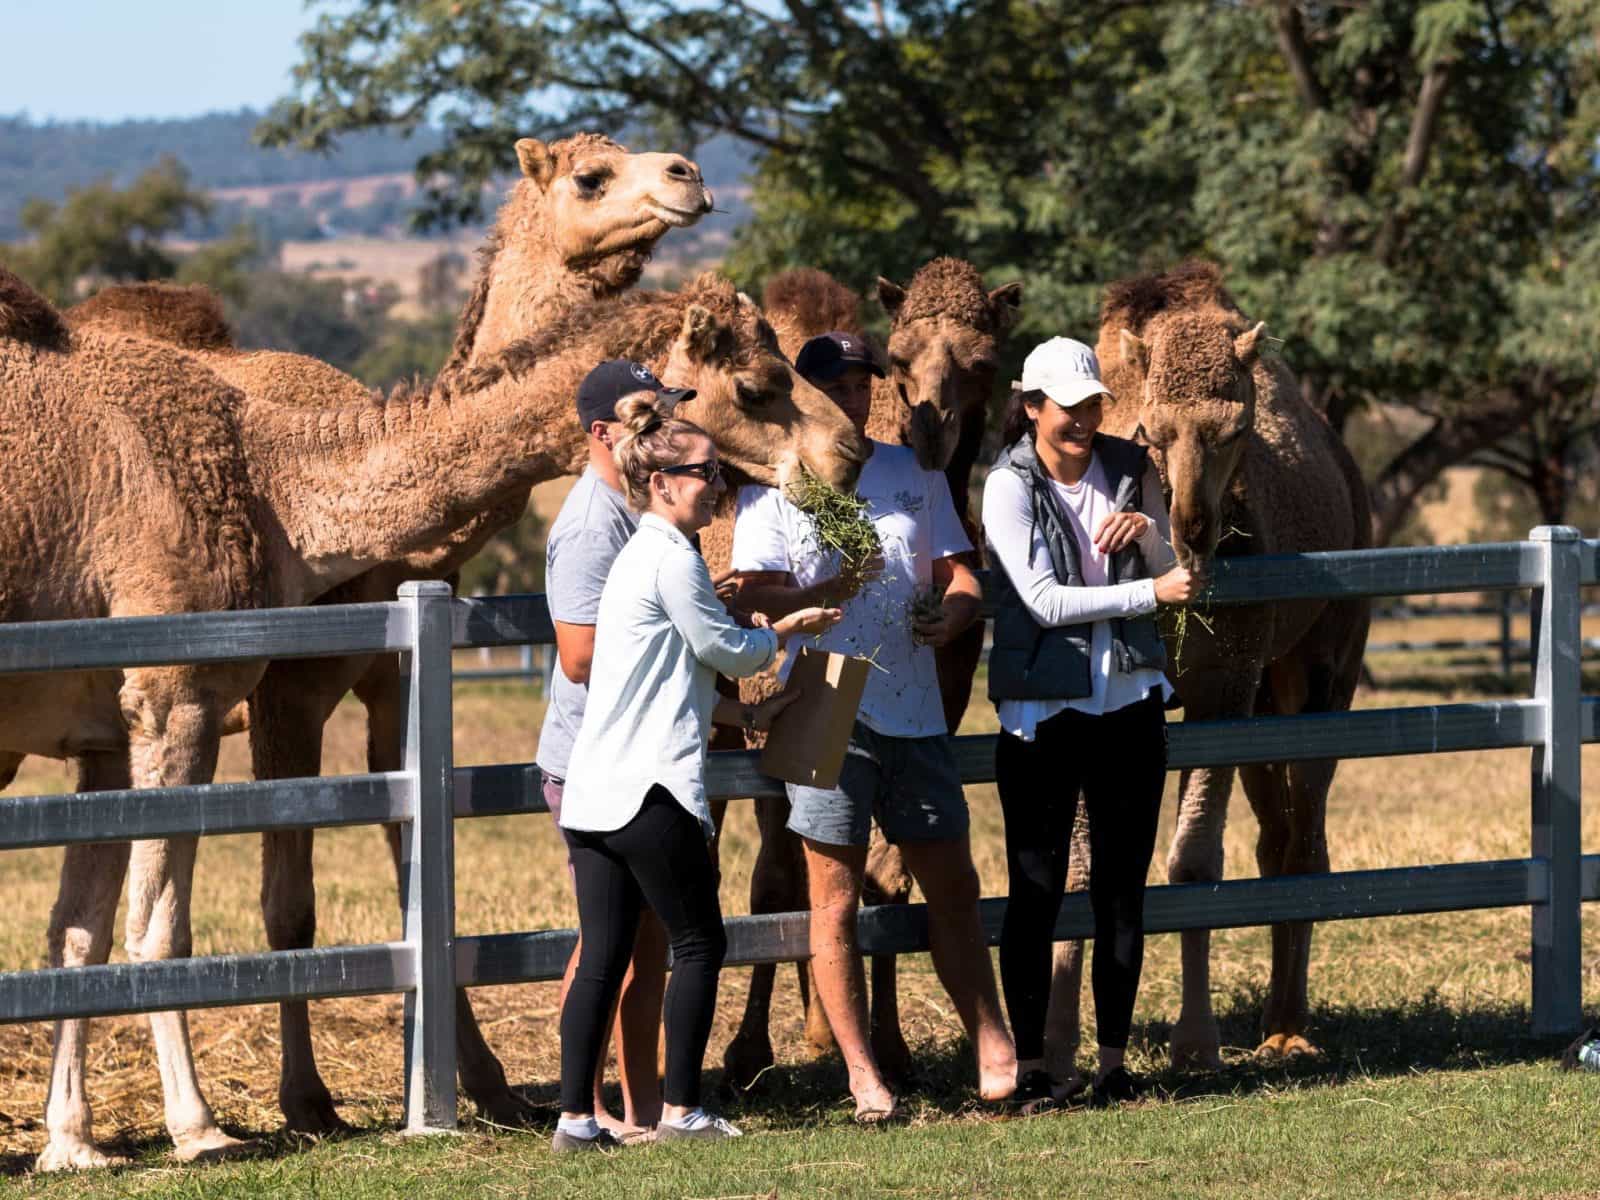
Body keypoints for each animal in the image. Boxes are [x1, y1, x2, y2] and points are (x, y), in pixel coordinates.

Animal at [0, 264, 865, 1170]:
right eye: (758, 384)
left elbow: (80, 931)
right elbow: (158, 928)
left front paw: (71, 1141)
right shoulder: (177, 694)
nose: (851, 451)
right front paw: (198, 1129)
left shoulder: (104, 730)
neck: (270, 481)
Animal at [65, 132, 717, 1131]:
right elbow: (288, 905)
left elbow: (417, 853)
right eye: (590, 176)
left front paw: (482, 1079)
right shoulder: (288, 694)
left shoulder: (393, 677)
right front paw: (306, 1098)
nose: (688, 175)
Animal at [1040, 261, 1371, 1076]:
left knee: (1306, 836)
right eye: (1151, 433)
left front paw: (1195, 1042)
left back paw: (1288, 1026)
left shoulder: (1222, 685)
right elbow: (1081, 866)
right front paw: (1059, 1045)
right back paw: (1277, 1020)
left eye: (1236, 430)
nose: (1193, 528)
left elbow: (1192, 863)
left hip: (1327, 663)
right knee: (1276, 837)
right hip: (1267, 693)